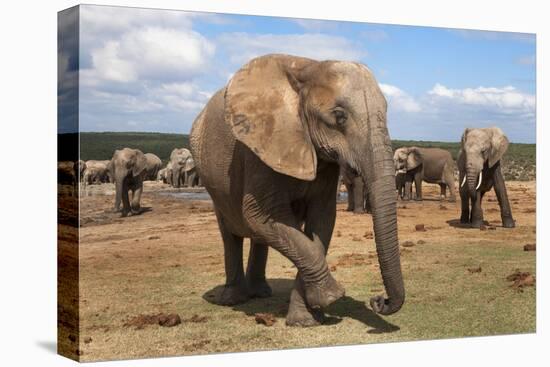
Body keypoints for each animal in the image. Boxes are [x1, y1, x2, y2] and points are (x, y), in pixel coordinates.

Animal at [190, 53, 406, 326]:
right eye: (339, 116)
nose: (379, 300)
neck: (309, 66)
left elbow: (321, 221)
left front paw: (307, 318)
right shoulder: (260, 148)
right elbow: (261, 216)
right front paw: (332, 297)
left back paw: (260, 293)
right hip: (214, 183)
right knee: (231, 232)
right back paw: (233, 299)